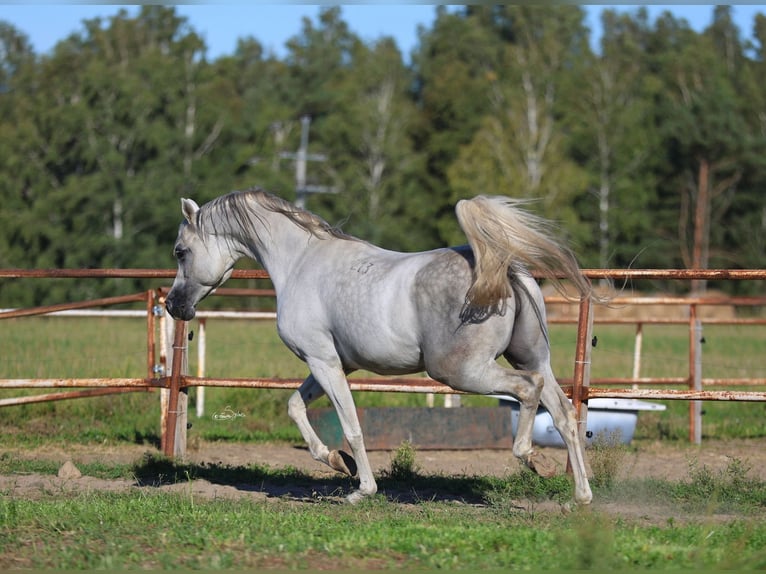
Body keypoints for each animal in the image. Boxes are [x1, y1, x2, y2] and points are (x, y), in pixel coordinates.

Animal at [165, 188, 594, 505]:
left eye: (180, 251)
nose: (173, 306)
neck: (300, 262)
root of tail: (503, 270)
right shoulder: (334, 363)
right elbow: (295, 407)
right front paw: (339, 462)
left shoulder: (324, 362)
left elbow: (351, 425)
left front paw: (362, 489)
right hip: (530, 358)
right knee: (564, 413)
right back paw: (579, 495)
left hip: (462, 371)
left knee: (528, 390)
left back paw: (532, 458)